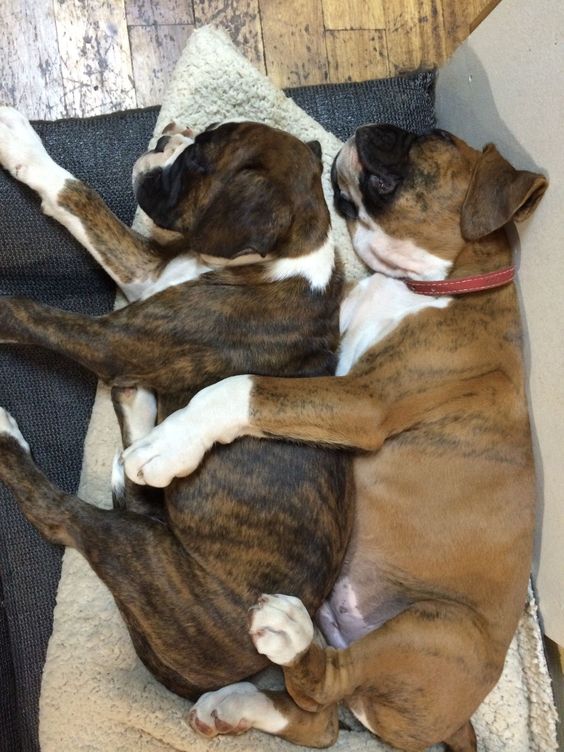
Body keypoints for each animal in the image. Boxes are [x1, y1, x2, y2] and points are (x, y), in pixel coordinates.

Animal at [122, 126, 548, 748]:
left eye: (436, 138)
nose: (372, 129)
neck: (428, 285)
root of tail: (458, 720)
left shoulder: (363, 403)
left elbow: (246, 389)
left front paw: (166, 446)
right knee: (321, 717)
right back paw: (236, 705)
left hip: (434, 626)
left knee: (327, 685)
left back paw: (285, 635)